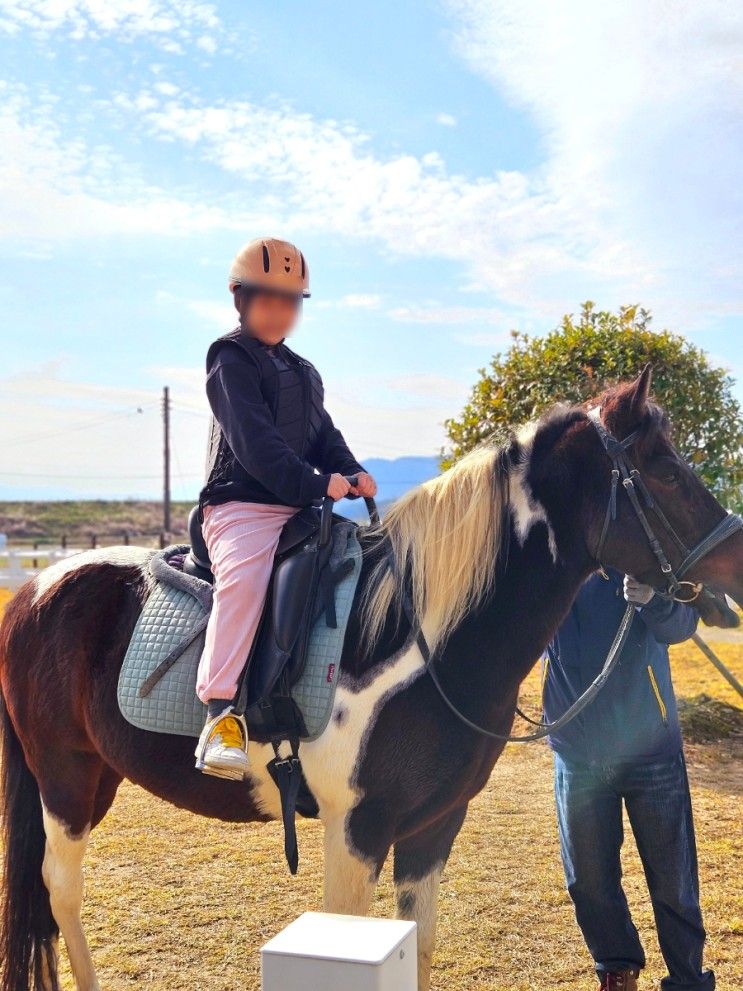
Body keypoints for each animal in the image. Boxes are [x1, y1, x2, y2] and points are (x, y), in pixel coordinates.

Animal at [4, 366, 743, 991]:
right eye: (665, 471)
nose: (732, 567)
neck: (421, 642)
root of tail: (34, 589)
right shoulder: (356, 829)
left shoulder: (435, 824)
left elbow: (419, 944)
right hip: (65, 778)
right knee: (59, 889)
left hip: (99, 776)